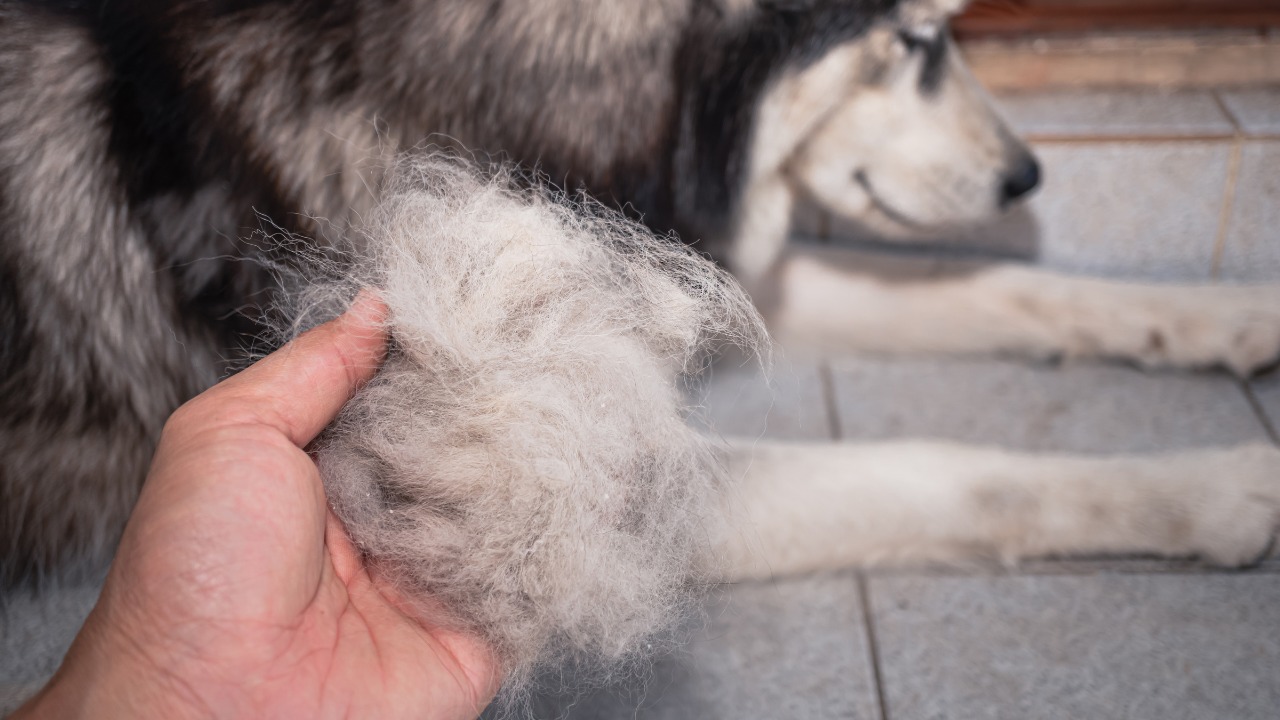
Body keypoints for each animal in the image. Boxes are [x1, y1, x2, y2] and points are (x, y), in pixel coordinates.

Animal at [2, 0, 1280, 691]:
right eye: (914, 41)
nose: (1027, 175)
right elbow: (936, 472)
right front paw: (1209, 488)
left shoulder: (666, 265)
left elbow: (993, 291)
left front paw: (1228, 319)